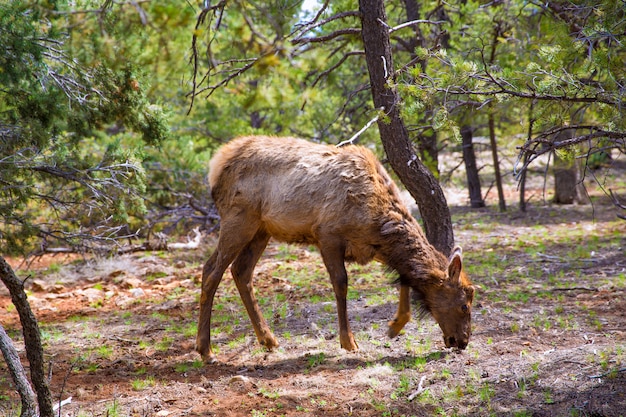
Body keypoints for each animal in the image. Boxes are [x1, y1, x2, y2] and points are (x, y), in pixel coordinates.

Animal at [197, 135, 476, 362]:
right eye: (465, 305)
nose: (463, 342)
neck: (378, 223)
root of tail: (215, 165)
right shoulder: (328, 234)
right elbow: (341, 284)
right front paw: (348, 341)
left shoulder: (375, 249)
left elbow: (405, 279)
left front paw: (394, 326)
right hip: (239, 218)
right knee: (211, 270)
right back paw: (206, 350)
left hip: (261, 230)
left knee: (241, 271)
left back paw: (268, 339)